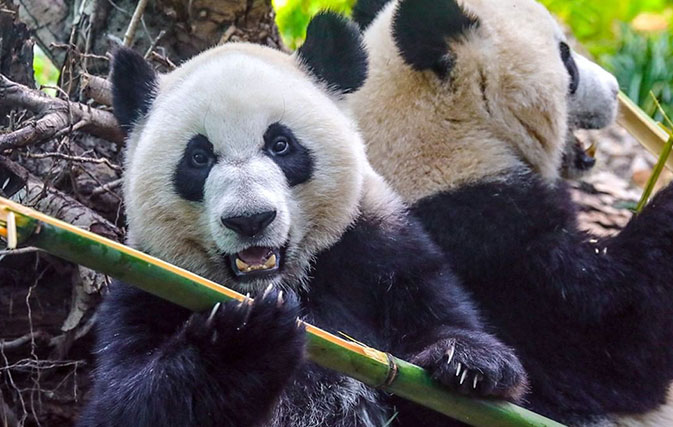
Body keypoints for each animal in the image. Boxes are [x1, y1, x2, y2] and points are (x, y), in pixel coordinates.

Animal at [79, 10, 528, 427]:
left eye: (281, 144)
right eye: (199, 157)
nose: (250, 220)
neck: (280, 284)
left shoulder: (379, 253)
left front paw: (469, 363)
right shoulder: (150, 280)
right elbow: (123, 404)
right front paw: (245, 338)